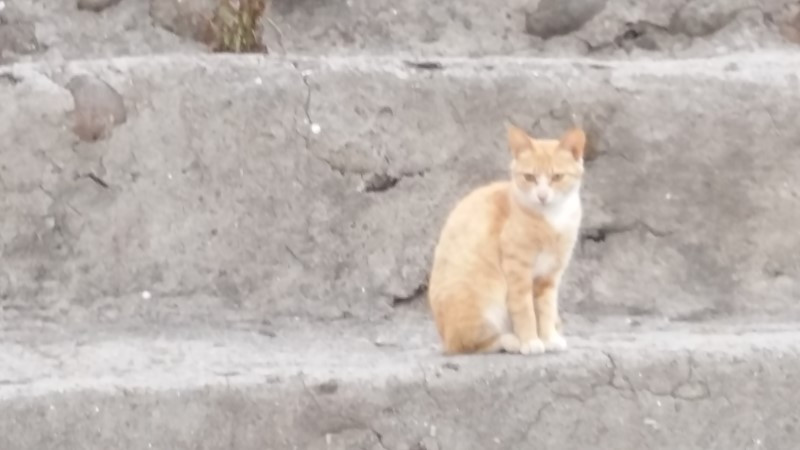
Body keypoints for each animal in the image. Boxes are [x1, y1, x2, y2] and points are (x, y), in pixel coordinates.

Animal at [428, 124, 586, 355]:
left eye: (557, 177)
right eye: (529, 177)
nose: (542, 196)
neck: (552, 219)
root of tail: (443, 337)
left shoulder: (549, 277)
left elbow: (546, 310)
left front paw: (548, 338)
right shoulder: (518, 271)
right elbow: (525, 310)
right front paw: (530, 341)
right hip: (484, 303)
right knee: (470, 343)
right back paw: (511, 340)